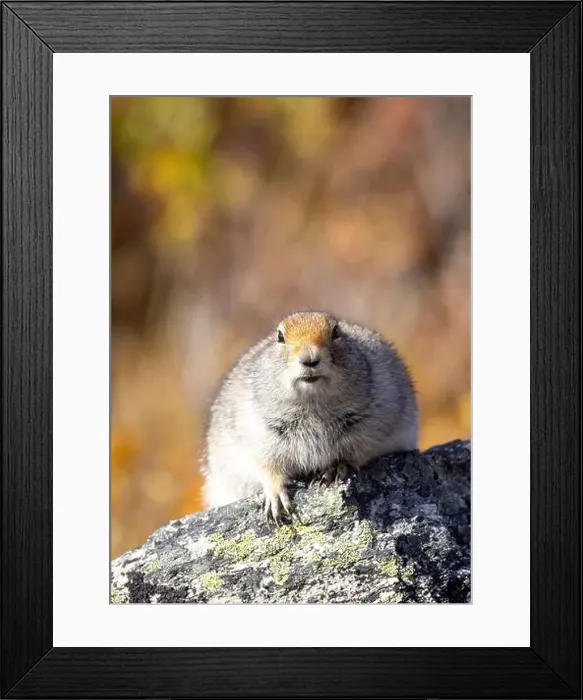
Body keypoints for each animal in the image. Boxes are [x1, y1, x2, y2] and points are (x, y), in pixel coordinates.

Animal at [201, 310, 419, 524]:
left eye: (336, 332)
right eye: (280, 336)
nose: (310, 359)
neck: (313, 404)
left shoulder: (372, 422)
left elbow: (357, 450)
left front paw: (334, 468)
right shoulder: (257, 432)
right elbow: (267, 466)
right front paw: (277, 499)